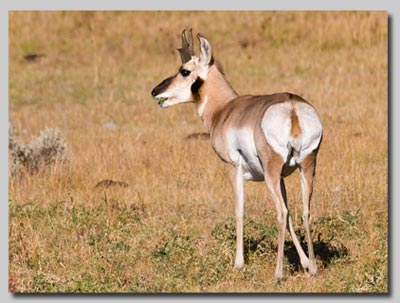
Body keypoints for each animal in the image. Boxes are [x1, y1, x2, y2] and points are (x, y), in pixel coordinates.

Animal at [150, 29, 322, 280]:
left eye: (184, 71)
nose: (155, 91)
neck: (225, 108)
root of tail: (291, 107)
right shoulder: (282, 178)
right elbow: (291, 214)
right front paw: (306, 263)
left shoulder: (232, 167)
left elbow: (240, 209)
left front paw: (238, 263)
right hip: (306, 167)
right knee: (304, 212)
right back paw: (314, 270)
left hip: (271, 174)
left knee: (280, 212)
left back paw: (278, 273)